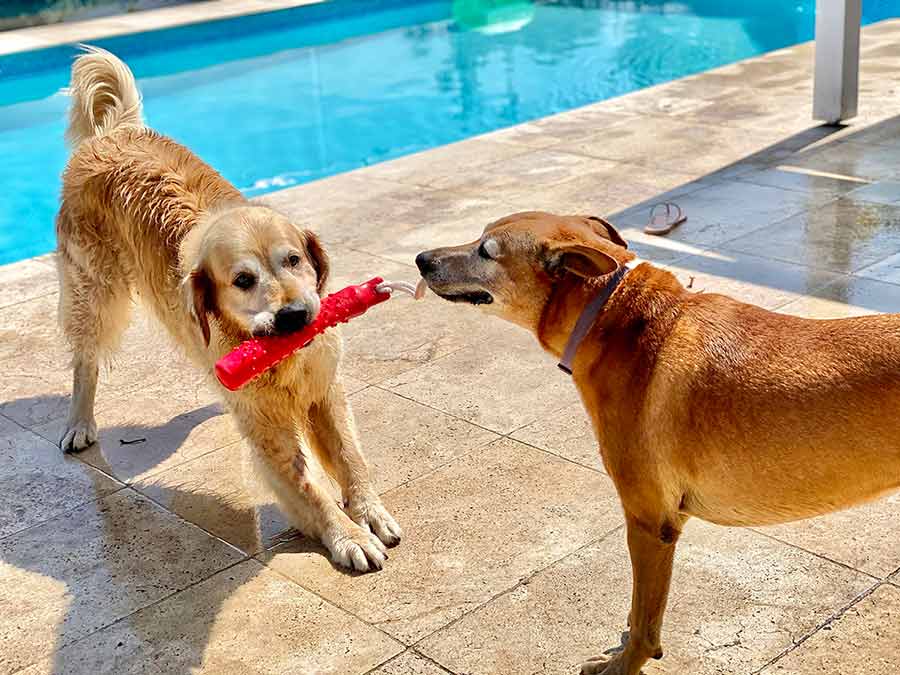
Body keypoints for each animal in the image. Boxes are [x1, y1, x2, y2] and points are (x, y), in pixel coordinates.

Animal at [52, 47, 398, 572]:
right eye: (243, 280)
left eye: (293, 260)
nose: (296, 317)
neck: (278, 355)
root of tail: (111, 134)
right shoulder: (265, 422)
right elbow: (308, 486)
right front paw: (346, 535)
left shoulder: (323, 386)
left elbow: (350, 458)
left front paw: (369, 510)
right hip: (93, 292)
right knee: (85, 359)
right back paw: (78, 422)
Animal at [416, 213, 900, 675]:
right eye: (479, 236)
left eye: (486, 251)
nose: (422, 259)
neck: (616, 315)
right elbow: (638, 612)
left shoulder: (650, 523)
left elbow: (645, 618)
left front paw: (623, 664)